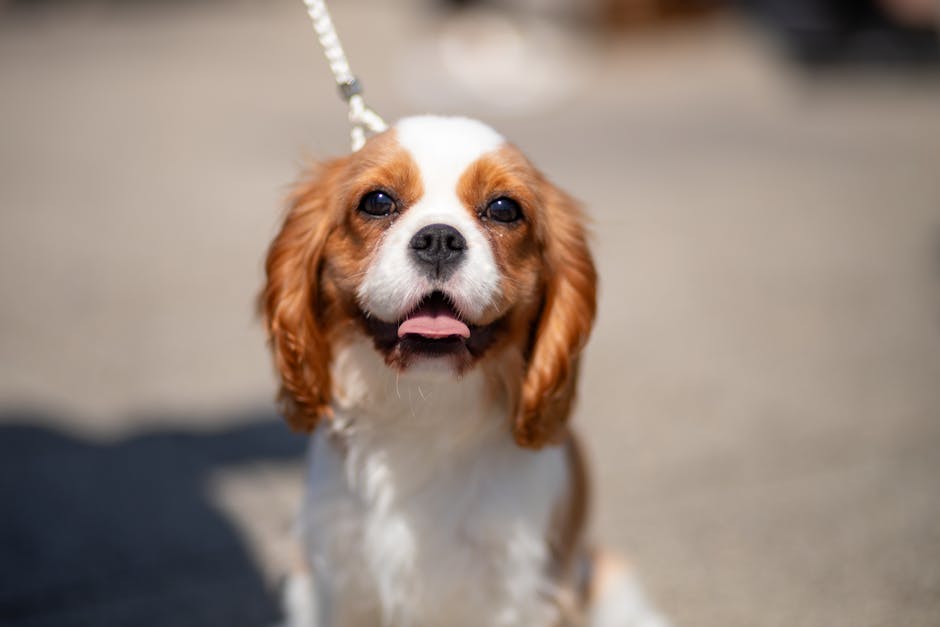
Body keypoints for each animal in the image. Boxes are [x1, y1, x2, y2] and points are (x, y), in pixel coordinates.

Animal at [260, 115, 664, 627]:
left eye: (504, 209)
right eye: (377, 202)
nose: (439, 238)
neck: (427, 406)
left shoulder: (518, 589)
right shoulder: (339, 581)